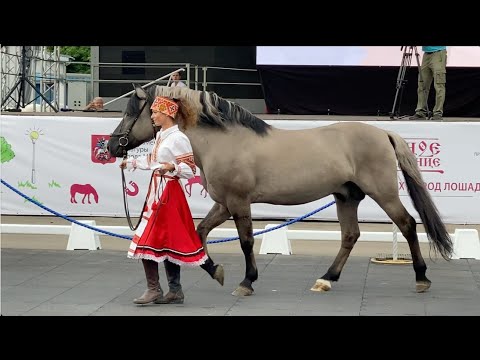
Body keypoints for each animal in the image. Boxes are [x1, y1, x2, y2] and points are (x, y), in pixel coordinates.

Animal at [107, 85, 452, 298]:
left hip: (383, 193)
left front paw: (246, 282)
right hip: (346, 197)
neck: (224, 141)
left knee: (408, 224)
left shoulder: (238, 202)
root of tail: (383, 133)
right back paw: (327, 279)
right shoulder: (223, 203)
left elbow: (246, 241)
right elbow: (199, 232)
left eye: (132, 112)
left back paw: (421, 278)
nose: (111, 146)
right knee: (350, 236)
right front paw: (212, 270)